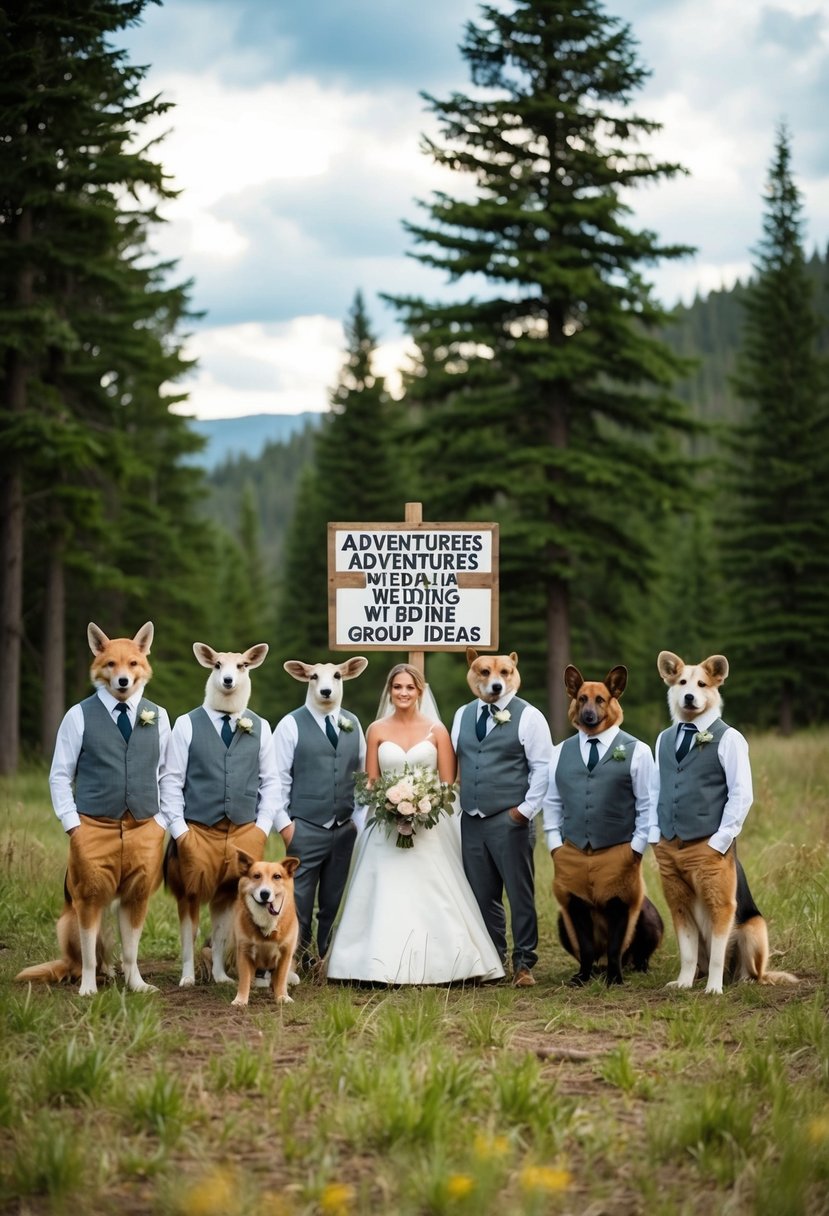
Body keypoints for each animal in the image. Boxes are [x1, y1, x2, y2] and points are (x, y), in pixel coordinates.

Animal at [229, 851, 300, 1001]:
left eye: (277, 876)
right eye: (256, 876)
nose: (265, 893)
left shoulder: (286, 952)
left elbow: (281, 978)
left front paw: (282, 996)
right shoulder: (244, 951)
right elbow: (244, 979)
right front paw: (241, 1000)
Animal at [539, 666, 661, 987]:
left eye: (601, 699)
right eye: (582, 698)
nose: (589, 717)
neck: (594, 740)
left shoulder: (621, 902)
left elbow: (618, 945)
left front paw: (614, 979)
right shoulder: (575, 903)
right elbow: (585, 948)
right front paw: (582, 977)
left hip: (648, 917)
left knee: (632, 954)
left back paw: (632, 968)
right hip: (563, 919)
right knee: (595, 954)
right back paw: (595, 971)